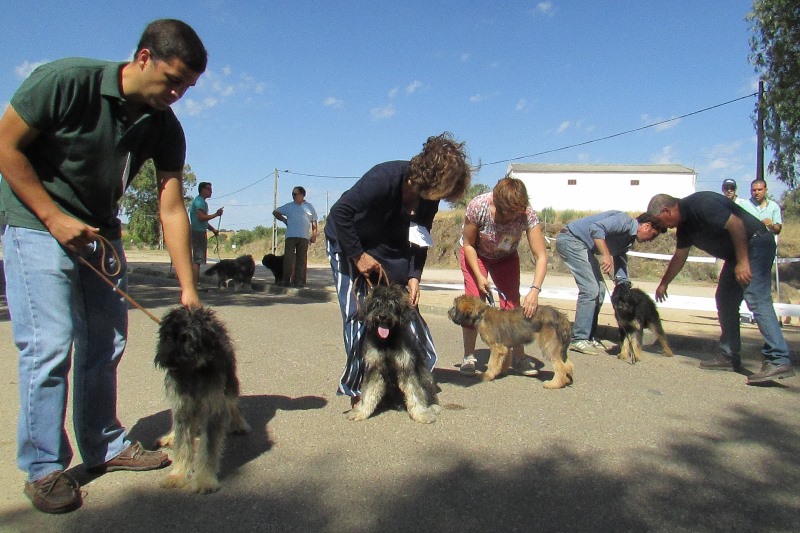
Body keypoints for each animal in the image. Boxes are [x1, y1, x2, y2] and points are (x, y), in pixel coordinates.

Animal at [152, 306, 248, 492]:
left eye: (187, 338)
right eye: (167, 336)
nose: (166, 359)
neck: (193, 371)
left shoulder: (213, 410)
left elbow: (208, 449)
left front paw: (204, 480)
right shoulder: (182, 408)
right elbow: (182, 445)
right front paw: (177, 475)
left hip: (229, 384)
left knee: (233, 405)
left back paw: (239, 424)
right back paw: (171, 436)